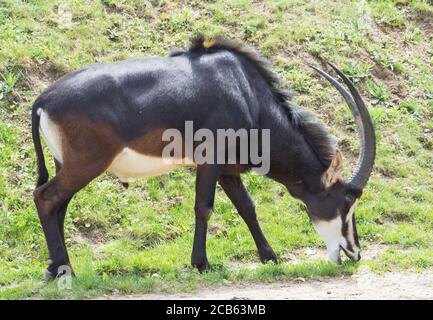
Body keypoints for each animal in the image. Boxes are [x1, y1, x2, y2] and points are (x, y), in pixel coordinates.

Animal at [32, 35, 374, 280]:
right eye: (346, 202)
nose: (355, 253)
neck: (249, 96)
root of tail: (43, 100)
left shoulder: (228, 170)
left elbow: (247, 207)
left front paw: (270, 257)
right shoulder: (211, 161)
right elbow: (204, 208)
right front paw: (202, 263)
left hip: (67, 165)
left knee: (59, 206)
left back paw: (58, 267)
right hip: (86, 164)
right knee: (45, 198)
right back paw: (63, 271)